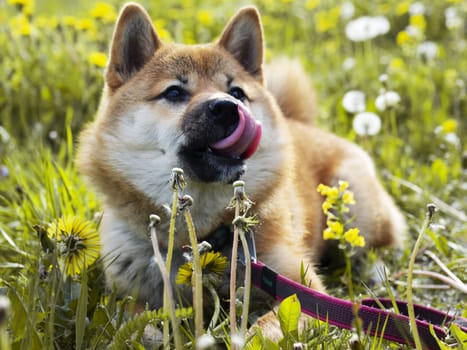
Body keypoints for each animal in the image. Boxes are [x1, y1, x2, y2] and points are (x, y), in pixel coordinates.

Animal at [77, 0, 406, 320]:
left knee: (375, 247)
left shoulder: (299, 286)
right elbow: (142, 323)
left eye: (236, 92)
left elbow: (270, 324)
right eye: (174, 92)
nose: (226, 108)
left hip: (353, 201)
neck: (201, 236)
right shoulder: (131, 299)